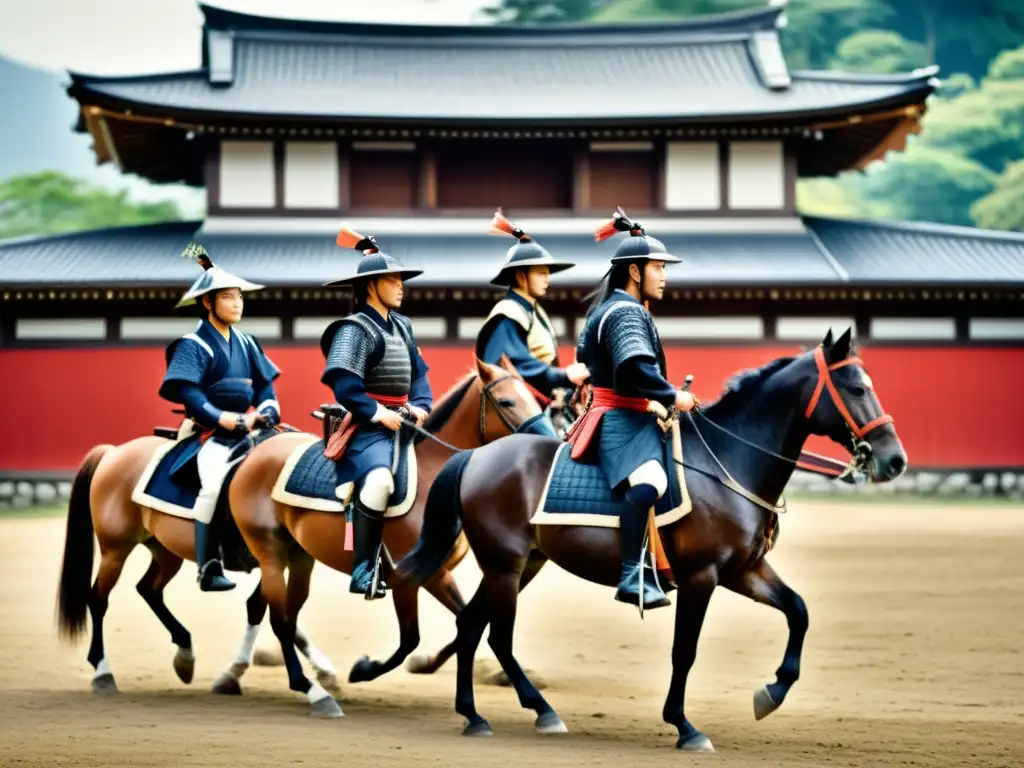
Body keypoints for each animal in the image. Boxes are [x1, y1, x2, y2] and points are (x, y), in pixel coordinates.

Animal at [220, 358, 548, 720]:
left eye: (535, 400)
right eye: (507, 402)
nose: (548, 442)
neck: (433, 477)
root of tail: (255, 454)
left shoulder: (438, 574)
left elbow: (467, 622)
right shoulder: (413, 578)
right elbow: (411, 639)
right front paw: (364, 669)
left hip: (298, 555)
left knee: (282, 616)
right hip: (269, 552)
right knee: (279, 619)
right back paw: (312, 691)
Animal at [395, 329, 909, 753]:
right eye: (857, 388)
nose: (895, 459)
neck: (728, 460)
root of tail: (475, 456)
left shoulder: (745, 571)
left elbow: (798, 611)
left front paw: (773, 691)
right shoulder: (703, 576)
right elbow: (686, 650)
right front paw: (684, 725)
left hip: (520, 564)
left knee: (470, 625)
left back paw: (475, 714)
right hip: (505, 565)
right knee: (497, 634)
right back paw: (535, 710)